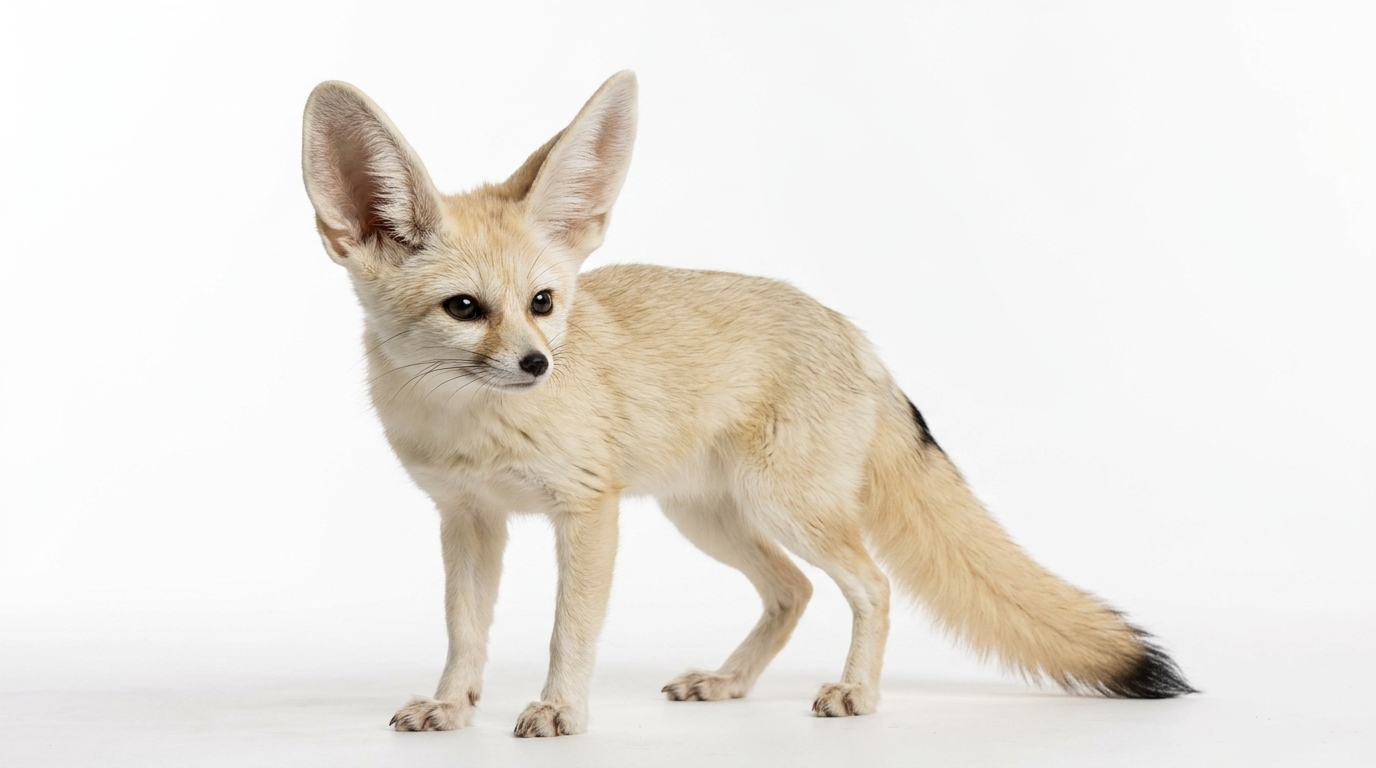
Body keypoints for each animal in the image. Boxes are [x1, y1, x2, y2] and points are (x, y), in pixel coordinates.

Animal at [300, 70, 1194, 737]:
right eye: (464, 308)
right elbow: (464, 632)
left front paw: (560, 710)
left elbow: (570, 630)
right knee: (793, 591)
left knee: (871, 586)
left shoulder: (585, 511)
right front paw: (451, 706)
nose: (537, 364)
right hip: (711, 519)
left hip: (782, 509)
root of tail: (852, 331)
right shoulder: (468, 519)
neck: (475, 430)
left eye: (543, 302)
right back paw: (729, 683)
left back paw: (856, 694)